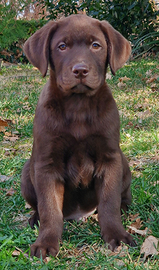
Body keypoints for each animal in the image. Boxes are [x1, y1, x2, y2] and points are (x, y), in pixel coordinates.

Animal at [20, 13, 134, 258]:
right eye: (62, 46)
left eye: (96, 46)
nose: (80, 70)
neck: (79, 106)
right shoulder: (47, 163)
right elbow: (49, 208)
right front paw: (46, 242)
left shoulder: (109, 158)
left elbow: (109, 202)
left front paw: (116, 235)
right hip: (27, 173)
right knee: (39, 206)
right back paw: (35, 219)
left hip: (123, 162)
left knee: (120, 197)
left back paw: (124, 206)